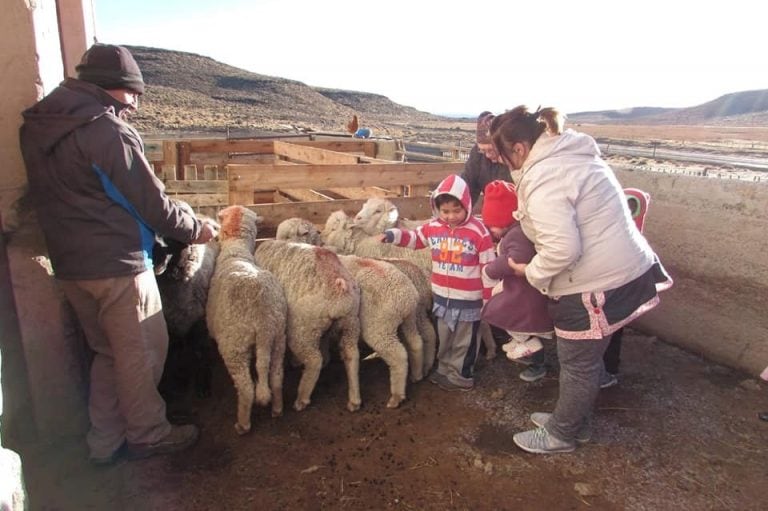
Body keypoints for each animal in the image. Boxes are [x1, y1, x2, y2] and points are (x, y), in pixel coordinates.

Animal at [206, 206, 286, 434]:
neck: (236, 252)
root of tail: (263, 318)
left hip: (234, 346)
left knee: (247, 389)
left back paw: (242, 424)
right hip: (279, 339)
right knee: (276, 377)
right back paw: (277, 409)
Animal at [250, 242, 362, 414]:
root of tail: (339, 286)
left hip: (302, 331)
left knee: (314, 360)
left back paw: (301, 398)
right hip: (350, 324)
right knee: (352, 355)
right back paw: (355, 400)